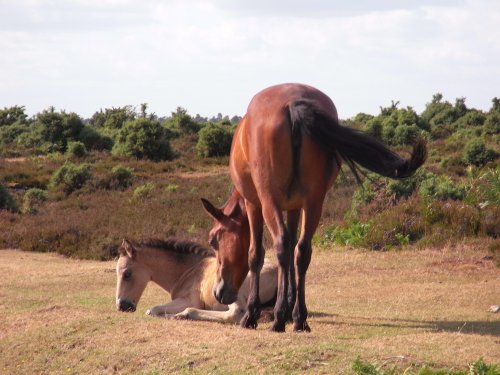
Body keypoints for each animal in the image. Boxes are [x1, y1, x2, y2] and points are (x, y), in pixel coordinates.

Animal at [201, 83, 428, 334]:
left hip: (271, 200)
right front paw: (290, 308)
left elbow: (256, 255)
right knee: (302, 251)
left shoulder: (254, 204)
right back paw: (299, 318)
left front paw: (252, 314)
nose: (218, 292)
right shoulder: (294, 207)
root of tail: (293, 103)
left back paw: (278, 319)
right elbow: (292, 251)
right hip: (314, 201)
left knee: (281, 245)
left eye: (213, 240)